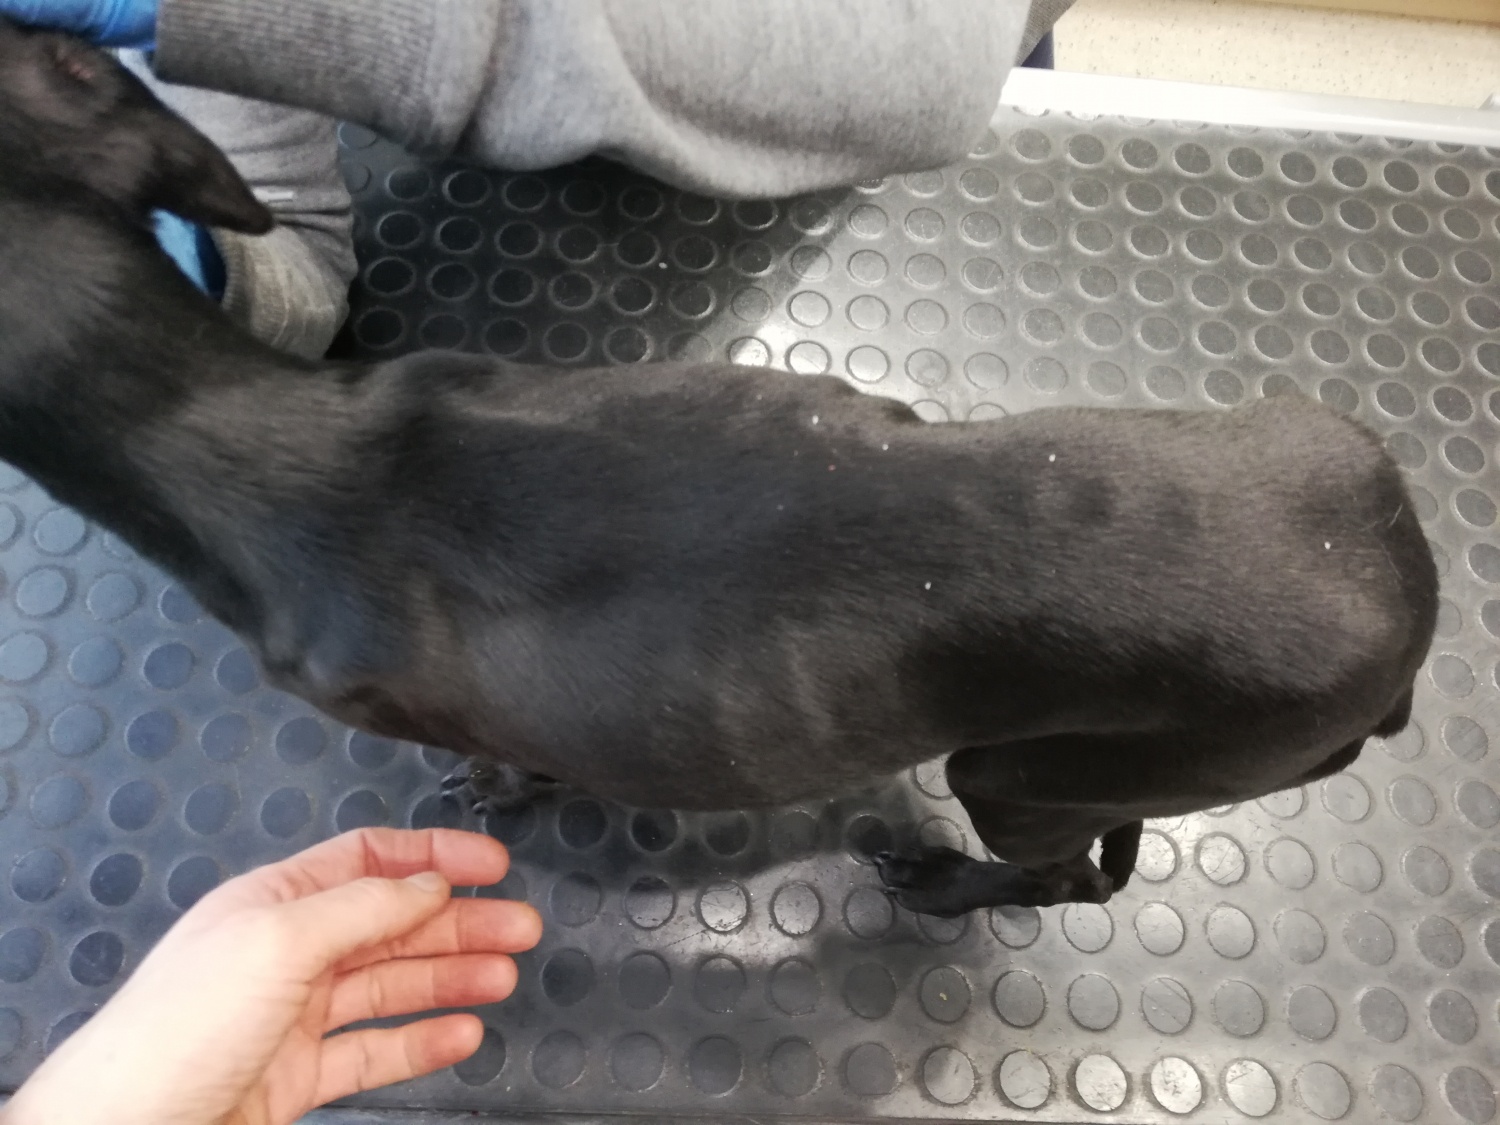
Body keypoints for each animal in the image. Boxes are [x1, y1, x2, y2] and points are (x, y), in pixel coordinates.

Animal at [0, 23, 1437, 916]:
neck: (233, 421)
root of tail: (1404, 600)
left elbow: (506, 767)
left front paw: (496, 796)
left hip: (1021, 773)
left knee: (1068, 875)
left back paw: (942, 889)